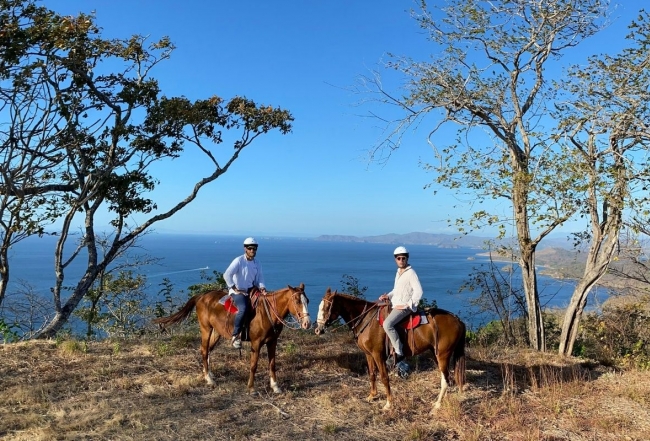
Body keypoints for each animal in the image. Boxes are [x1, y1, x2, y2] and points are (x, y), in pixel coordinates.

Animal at [154, 284, 312, 394]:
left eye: (307, 301)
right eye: (297, 301)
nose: (307, 323)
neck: (267, 314)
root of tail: (202, 296)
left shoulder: (272, 342)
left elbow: (272, 364)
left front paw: (275, 387)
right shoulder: (256, 343)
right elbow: (253, 365)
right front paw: (251, 388)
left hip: (217, 332)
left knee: (208, 350)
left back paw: (208, 374)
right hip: (206, 329)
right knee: (204, 350)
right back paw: (209, 379)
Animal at [312, 288, 460, 410]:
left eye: (327, 307)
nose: (318, 330)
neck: (366, 319)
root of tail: (457, 320)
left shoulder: (378, 355)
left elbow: (384, 376)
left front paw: (389, 403)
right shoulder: (369, 354)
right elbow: (372, 374)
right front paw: (372, 396)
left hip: (442, 355)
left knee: (446, 378)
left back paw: (438, 404)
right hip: (436, 354)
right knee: (446, 377)